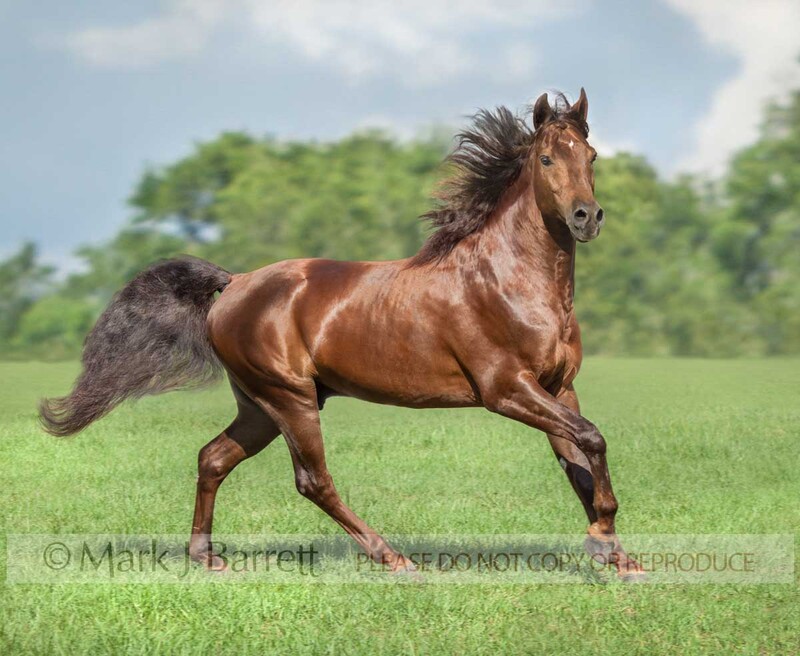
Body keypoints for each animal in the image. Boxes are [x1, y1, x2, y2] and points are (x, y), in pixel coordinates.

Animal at [40, 88, 643, 580]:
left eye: (591, 156)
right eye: (546, 157)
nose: (586, 217)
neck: (510, 282)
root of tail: (234, 283)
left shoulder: (557, 387)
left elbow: (578, 464)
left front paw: (618, 557)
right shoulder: (506, 389)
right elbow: (593, 439)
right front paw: (602, 540)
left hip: (260, 406)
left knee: (213, 458)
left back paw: (205, 557)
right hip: (290, 398)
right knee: (313, 480)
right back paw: (394, 559)